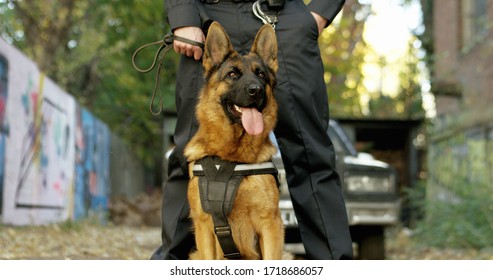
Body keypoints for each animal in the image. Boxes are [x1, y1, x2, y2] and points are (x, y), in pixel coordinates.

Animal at [184, 22, 284, 260]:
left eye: (261, 75)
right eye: (232, 74)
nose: (256, 90)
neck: (231, 157)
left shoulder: (270, 224)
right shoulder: (204, 226)